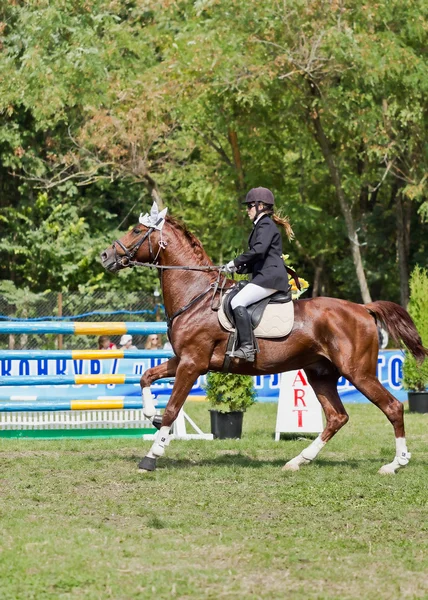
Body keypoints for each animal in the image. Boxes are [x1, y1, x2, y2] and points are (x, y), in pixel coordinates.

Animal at [99, 211, 424, 474]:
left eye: (137, 231)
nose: (105, 256)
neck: (196, 296)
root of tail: (363, 309)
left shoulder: (192, 364)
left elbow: (172, 408)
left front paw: (152, 455)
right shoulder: (183, 360)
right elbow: (146, 376)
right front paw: (149, 414)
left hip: (358, 372)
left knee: (393, 407)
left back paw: (395, 464)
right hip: (321, 374)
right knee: (337, 417)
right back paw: (298, 461)